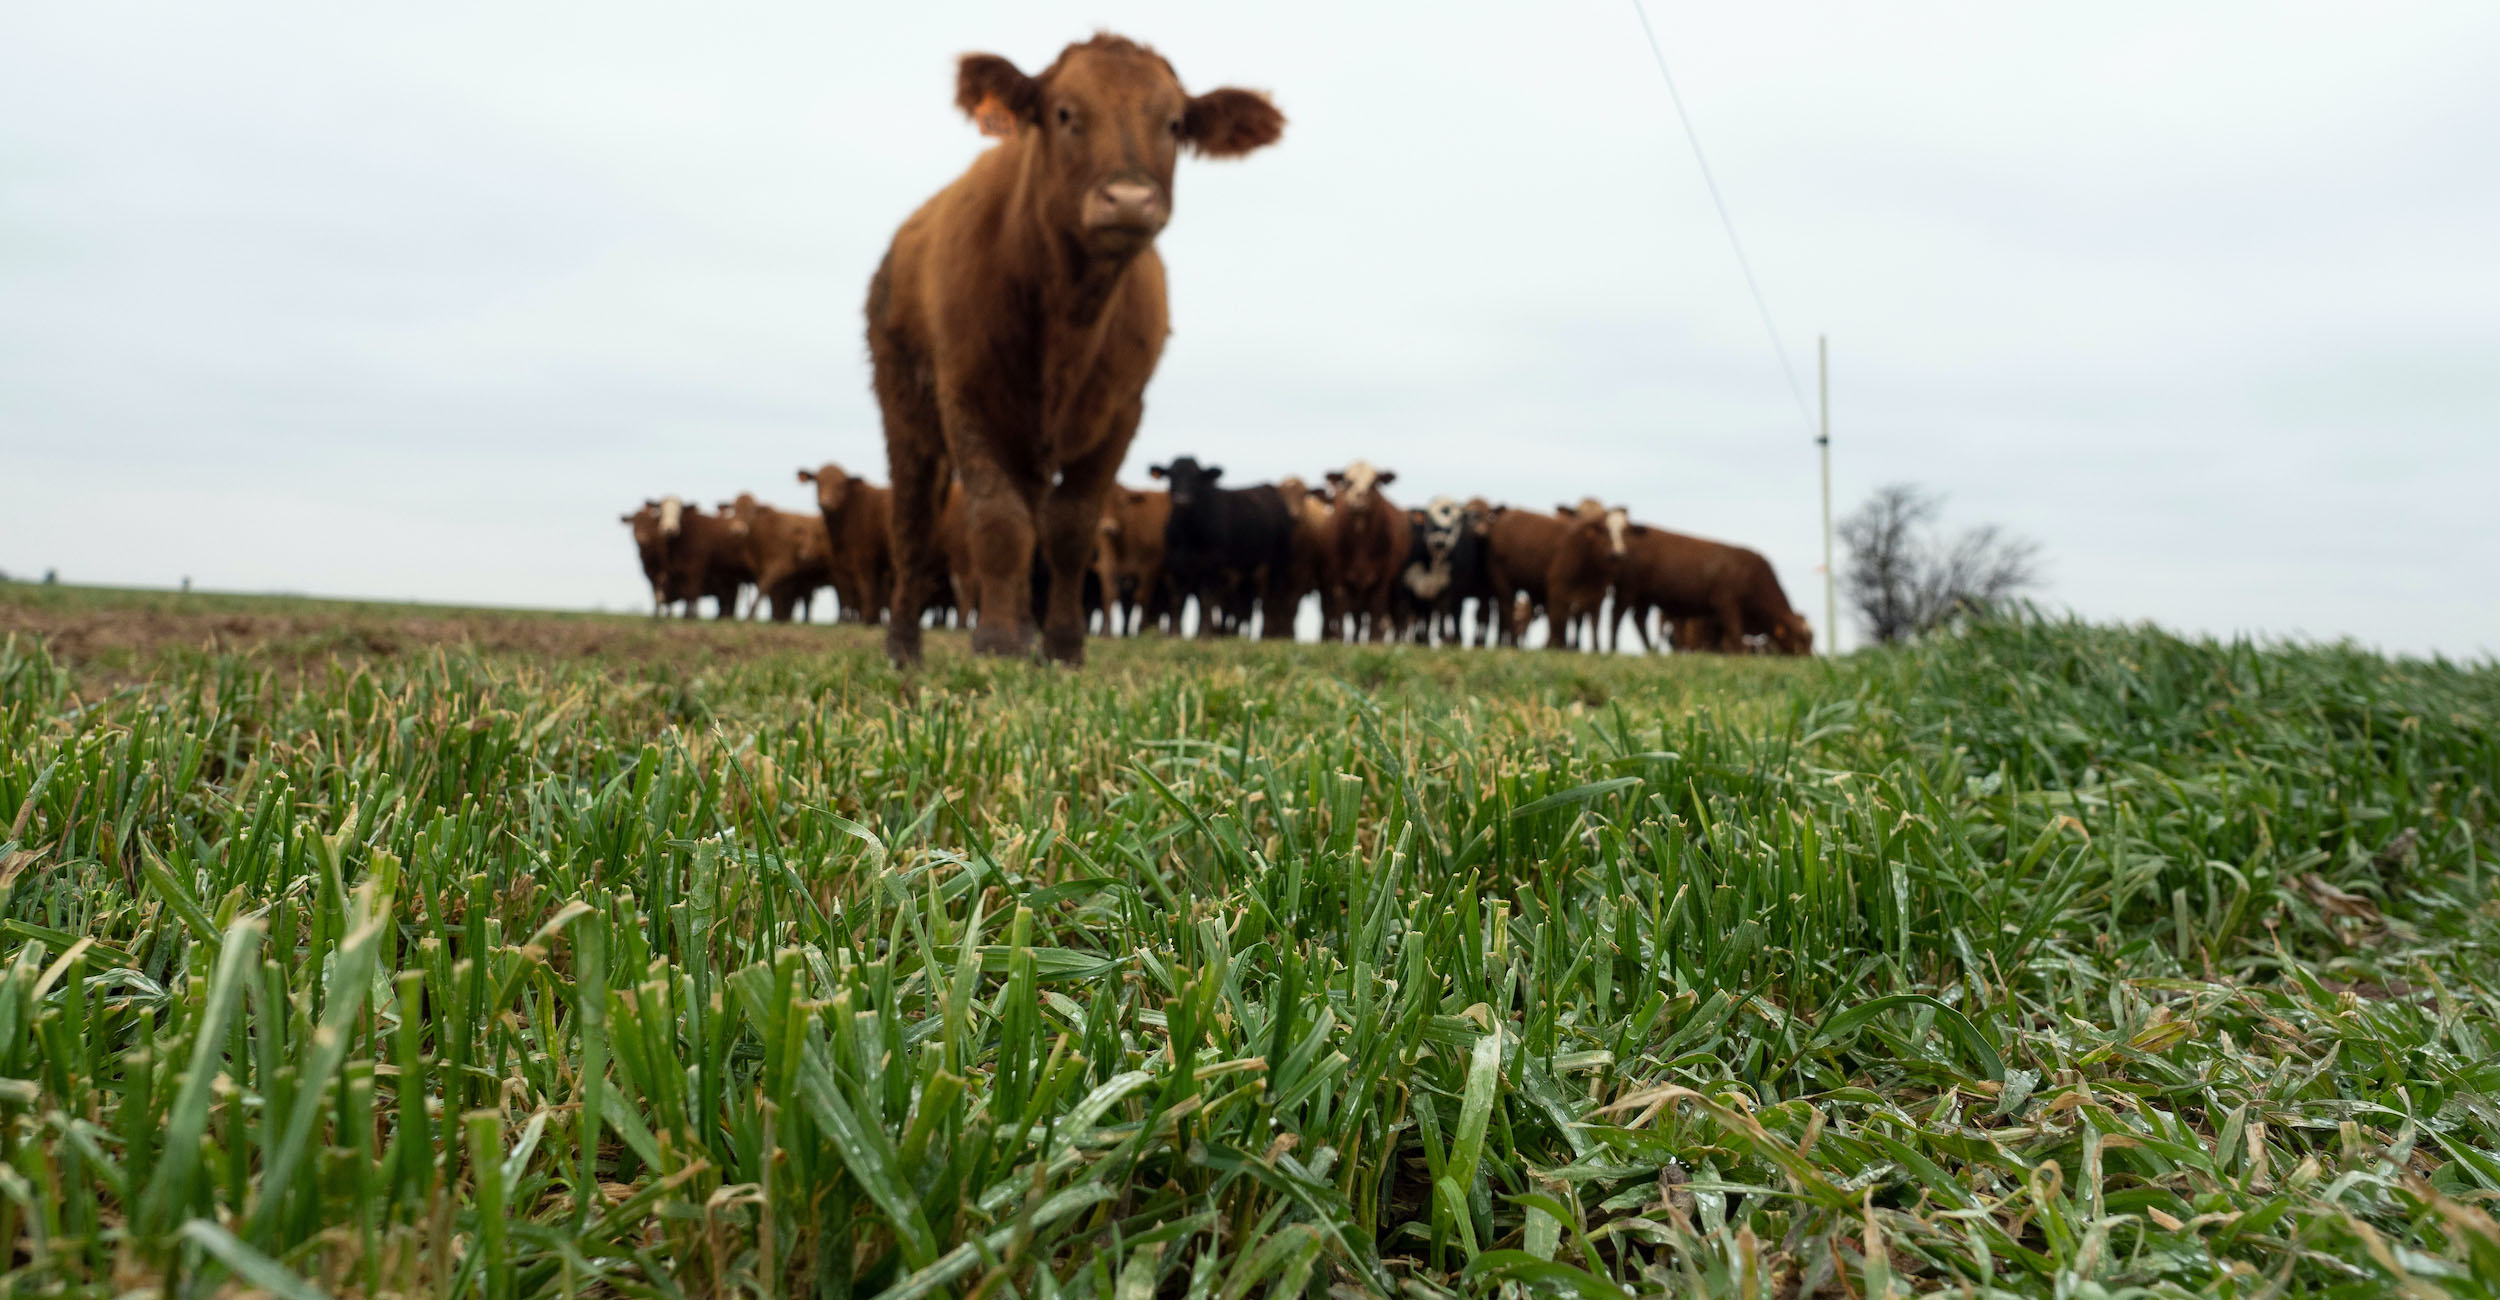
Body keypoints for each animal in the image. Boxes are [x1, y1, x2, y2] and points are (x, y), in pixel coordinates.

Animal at [725, 492, 840, 625]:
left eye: (752, 510)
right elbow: (773, 593)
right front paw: (775, 618)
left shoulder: (781, 566)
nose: (737, 530)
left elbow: (765, 588)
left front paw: (751, 616)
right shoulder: (762, 568)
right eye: (734, 509)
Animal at [795, 465, 895, 627]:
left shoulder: (863, 559)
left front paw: (866, 620)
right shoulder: (842, 570)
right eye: (818, 481)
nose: (825, 503)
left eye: (840, 484)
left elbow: (866, 589)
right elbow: (848, 597)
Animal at [1150, 457, 1300, 640]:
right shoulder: (1177, 561)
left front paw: (1204, 634)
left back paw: (1271, 635)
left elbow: (1207, 598)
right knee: (1244, 604)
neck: (1189, 529)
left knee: (1273, 596)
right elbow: (1178, 598)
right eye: (1171, 475)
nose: (1182, 500)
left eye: (1196, 477)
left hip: (1277, 563)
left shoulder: (1213, 562)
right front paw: (1174, 634)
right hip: (1247, 571)